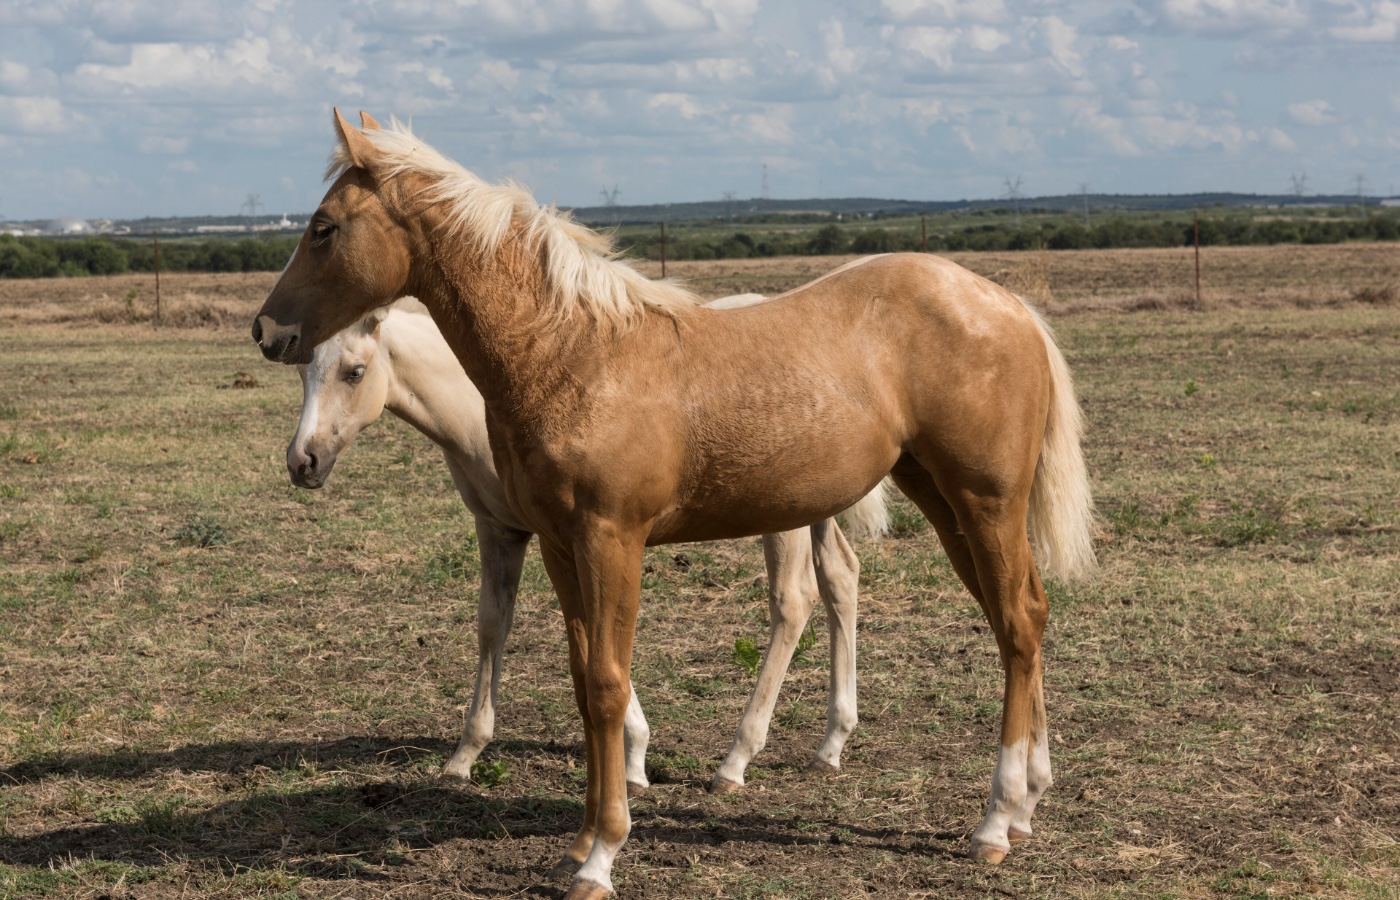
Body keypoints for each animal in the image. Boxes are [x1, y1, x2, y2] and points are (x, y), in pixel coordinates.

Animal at [286, 295, 889, 792]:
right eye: (302, 372)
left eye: (354, 371)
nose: (302, 462)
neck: (485, 399)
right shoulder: (499, 528)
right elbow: (493, 623)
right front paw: (464, 756)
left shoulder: (580, 530)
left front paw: (635, 758)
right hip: (815, 505)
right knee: (841, 577)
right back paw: (831, 744)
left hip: (781, 516)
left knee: (792, 602)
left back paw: (736, 760)